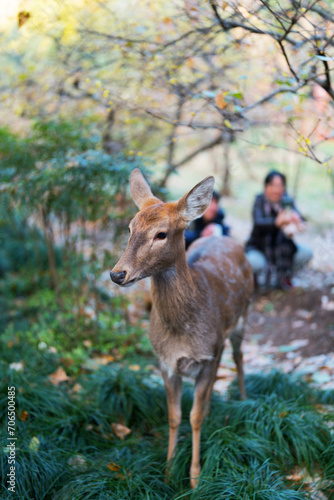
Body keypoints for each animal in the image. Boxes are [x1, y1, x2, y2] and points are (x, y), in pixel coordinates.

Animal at [109, 171, 253, 488]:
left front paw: (195, 478)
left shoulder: (205, 358)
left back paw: (243, 399)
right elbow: (174, 416)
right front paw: (167, 470)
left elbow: (194, 417)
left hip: (244, 315)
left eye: (161, 234)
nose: (117, 273)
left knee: (238, 357)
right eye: (130, 228)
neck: (181, 334)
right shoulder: (165, 363)